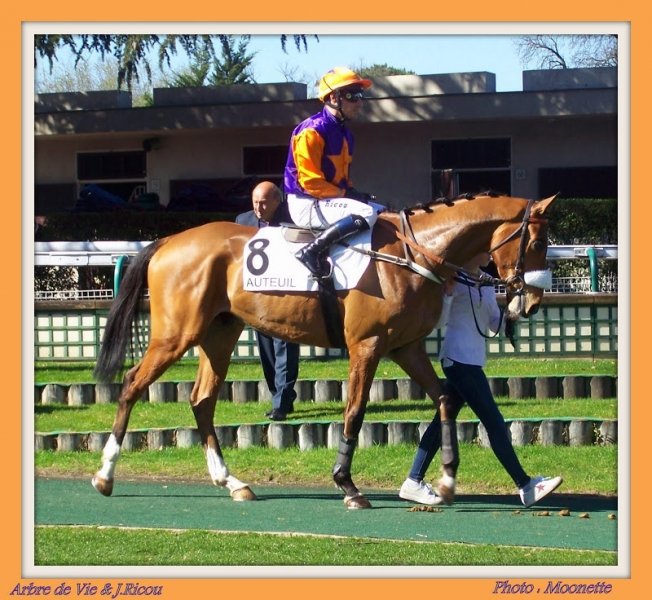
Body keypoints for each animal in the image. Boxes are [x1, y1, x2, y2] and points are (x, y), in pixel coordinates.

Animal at [91, 192, 556, 509]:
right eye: (537, 244)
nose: (531, 303)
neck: (412, 253)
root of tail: (168, 240)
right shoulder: (366, 347)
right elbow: (354, 412)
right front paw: (347, 484)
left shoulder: (405, 347)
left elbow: (444, 398)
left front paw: (443, 481)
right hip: (175, 335)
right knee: (131, 385)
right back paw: (105, 475)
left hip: (219, 334)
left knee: (202, 399)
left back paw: (231, 481)